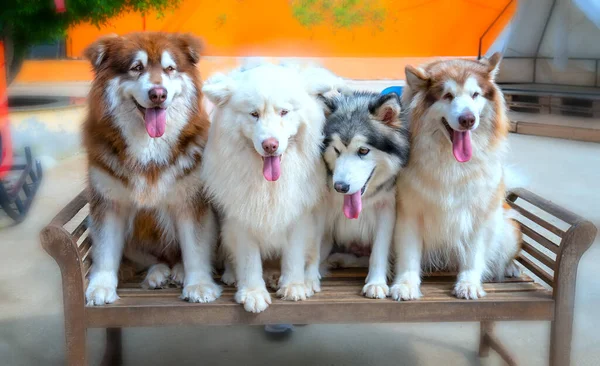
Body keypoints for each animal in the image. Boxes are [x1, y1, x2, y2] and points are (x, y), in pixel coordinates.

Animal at [81, 32, 219, 306]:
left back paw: (178, 271)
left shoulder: (191, 202)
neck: (149, 147)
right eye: (137, 68)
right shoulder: (108, 203)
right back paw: (158, 273)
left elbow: (196, 248)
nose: (158, 94)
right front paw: (101, 286)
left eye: (170, 69)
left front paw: (199, 284)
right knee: (154, 259)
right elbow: (105, 250)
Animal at [202, 64, 342, 314]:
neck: (269, 184)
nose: (270, 145)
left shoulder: (300, 216)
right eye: (254, 114)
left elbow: (294, 256)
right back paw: (234, 275)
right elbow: (250, 261)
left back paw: (306, 280)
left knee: (313, 257)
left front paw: (294, 286)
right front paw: (252, 293)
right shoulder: (241, 219)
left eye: (284, 112)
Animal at [322, 91, 410, 298]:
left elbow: (378, 251)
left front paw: (376, 282)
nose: (340, 187)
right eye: (336, 150)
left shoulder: (386, 210)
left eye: (363, 150)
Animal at [392, 53, 524, 300]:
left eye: (475, 95)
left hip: (509, 230)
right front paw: (406, 284)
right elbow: (409, 255)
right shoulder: (409, 213)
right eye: (448, 96)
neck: (452, 162)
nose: (468, 120)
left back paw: (510, 267)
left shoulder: (478, 214)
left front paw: (469, 284)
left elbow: (473, 255)